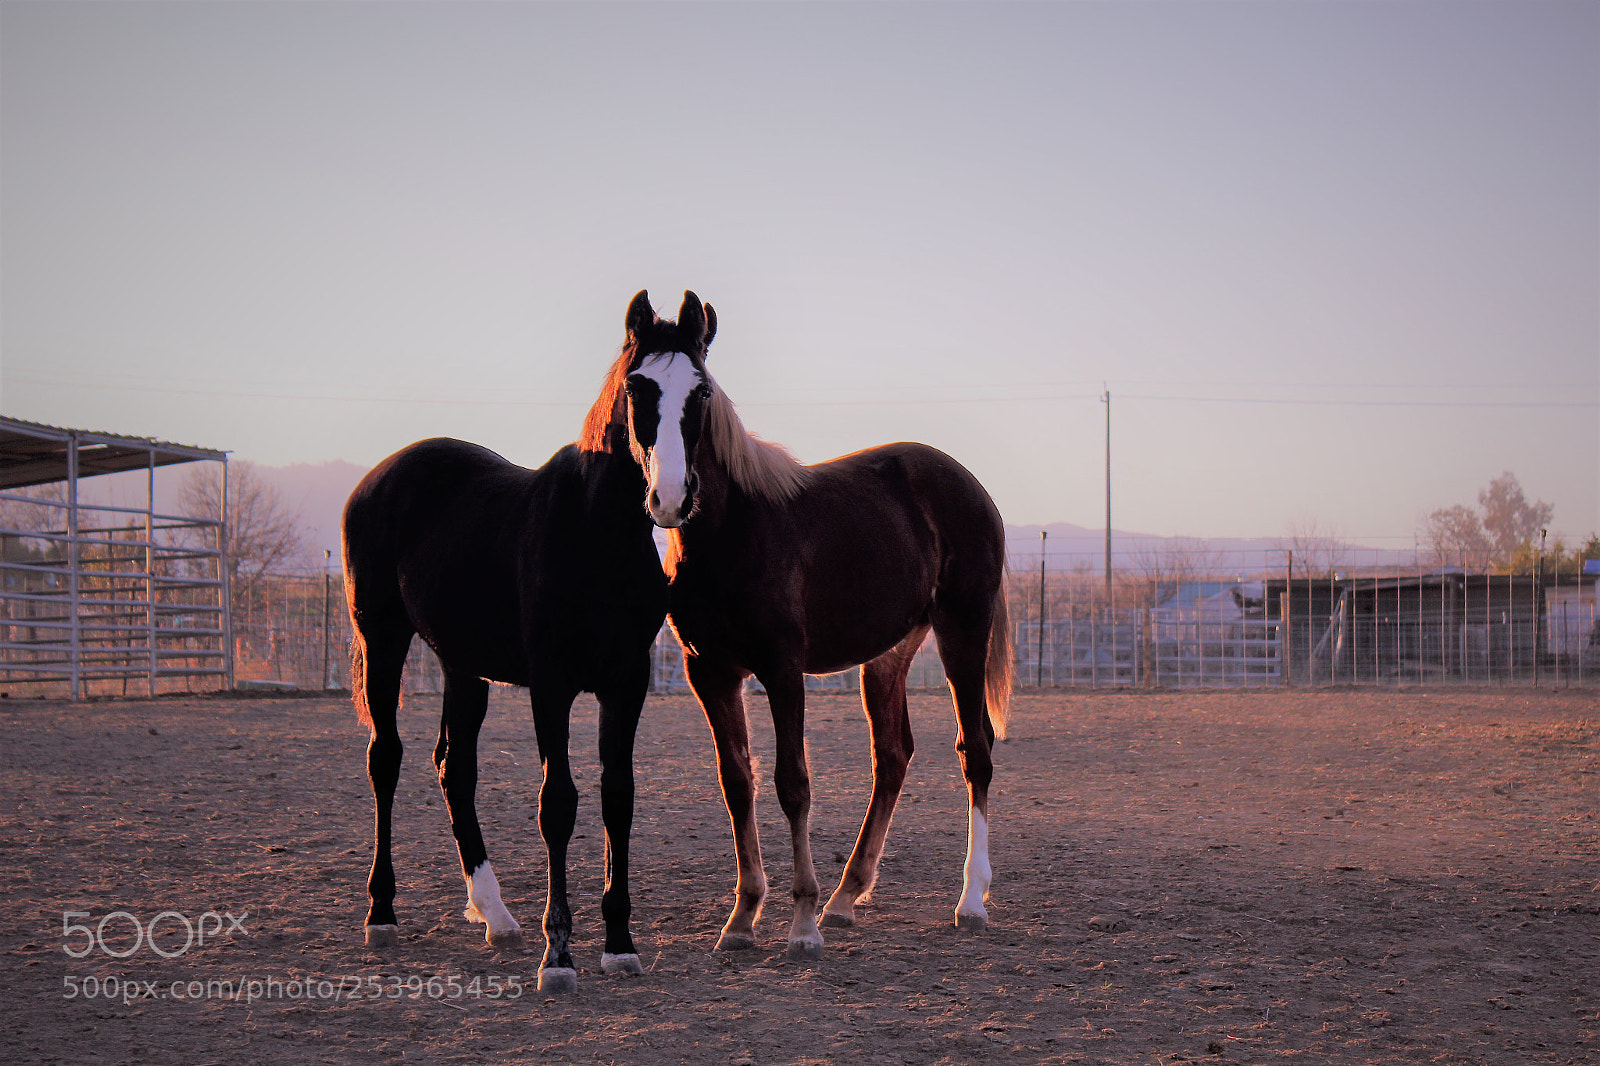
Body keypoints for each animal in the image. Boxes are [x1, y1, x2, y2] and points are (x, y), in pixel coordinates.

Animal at [340, 295, 684, 993]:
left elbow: (617, 797)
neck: (597, 533)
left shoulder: (627, 681)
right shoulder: (550, 685)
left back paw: (494, 913)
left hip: (462, 666)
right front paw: (559, 957)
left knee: (454, 768)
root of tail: (380, 477)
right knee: (385, 759)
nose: (669, 498)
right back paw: (382, 913)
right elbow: (559, 804)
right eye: (638, 388)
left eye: (703, 392)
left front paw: (620, 944)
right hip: (382, 638)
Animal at [615, 289, 1012, 960]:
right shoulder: (709, 672)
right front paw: (743, 916)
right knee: (893, 755)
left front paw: (800, 924)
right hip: (888, 654)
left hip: (963, 629)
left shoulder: (783, 670)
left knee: (975, 749)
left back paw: (971, 901)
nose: (670, 496)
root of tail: (969, 487)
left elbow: (792, 783)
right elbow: (738, 782)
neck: (732, 534)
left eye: (701, 391)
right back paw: (847, 897)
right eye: (636, 386)